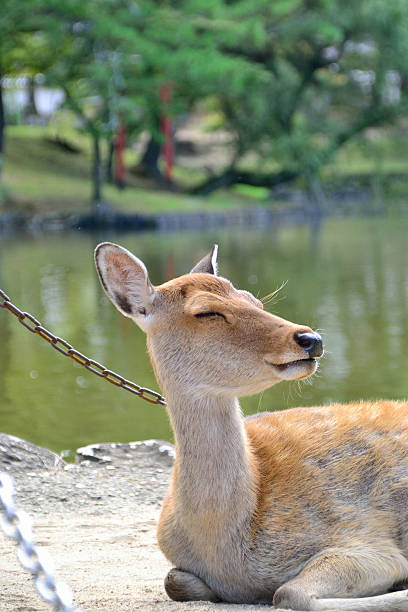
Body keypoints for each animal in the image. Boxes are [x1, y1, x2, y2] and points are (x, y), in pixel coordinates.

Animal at [94, 244, 408, 612]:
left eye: (255, 301)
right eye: (207, 312)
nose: (310, 338)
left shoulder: (364, 536)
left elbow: (288, 593)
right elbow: (175, 581)